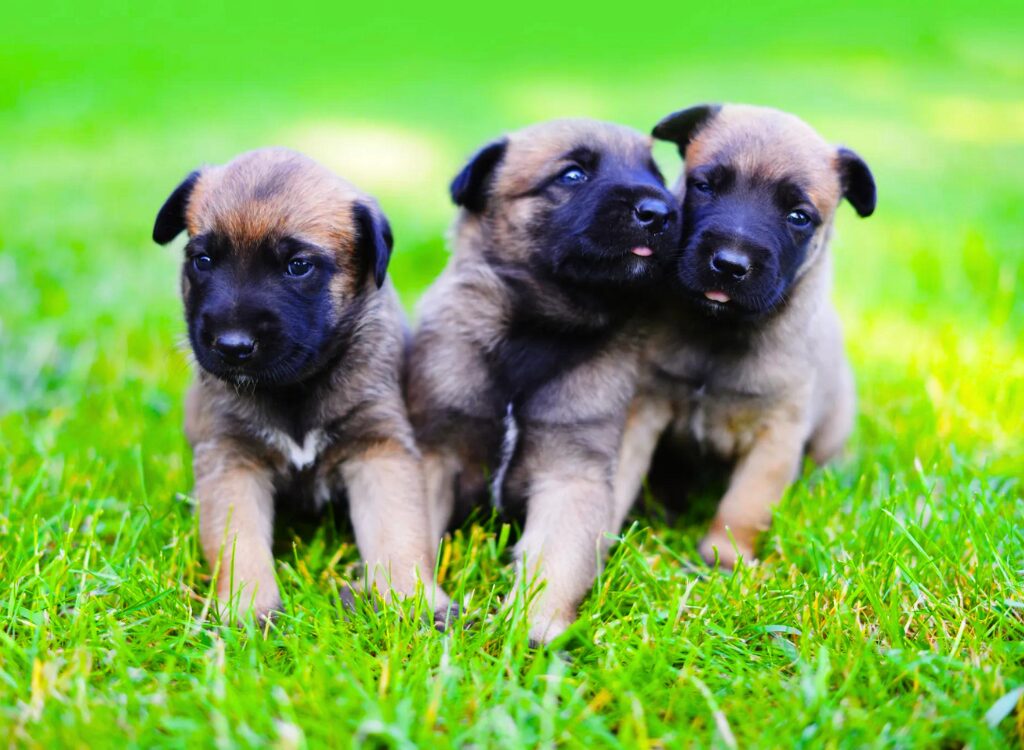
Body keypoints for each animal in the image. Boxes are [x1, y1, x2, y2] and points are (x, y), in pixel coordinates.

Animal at [150, 146, 444, 622]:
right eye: (203, 260)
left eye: (298, 266)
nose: (232, 346)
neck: (294, 390)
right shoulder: (232, 459)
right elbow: (239, 542)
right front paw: (248, 608)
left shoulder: (379, 449)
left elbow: (398, 533)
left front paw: (415, 601)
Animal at [405, 119, 679, 643]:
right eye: (572, 175)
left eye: (656, 175)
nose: (661, 213)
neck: (537, 330)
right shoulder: (434, 455)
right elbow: (412, 539)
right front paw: (425, 606)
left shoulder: (571, 475)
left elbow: (554, 562)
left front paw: (532, 628)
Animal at [610, 103, 876, 569]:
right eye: (703, 186)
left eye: (799, 217)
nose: (730, 264)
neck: (717, 331)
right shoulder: (643, 410)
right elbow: (620, 477)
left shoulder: (775, 439)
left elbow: (744, 505)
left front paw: (723, 559)